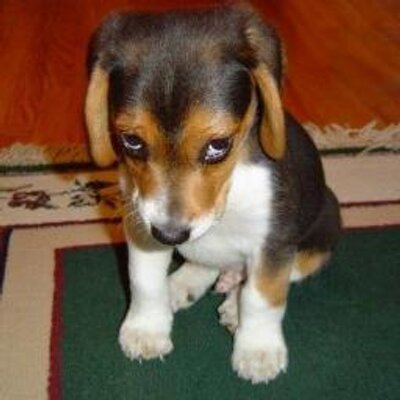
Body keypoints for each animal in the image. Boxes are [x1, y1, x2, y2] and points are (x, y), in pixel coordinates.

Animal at [85, 3, 341, 384]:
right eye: (131, 140)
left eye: (218, 145)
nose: (170, 235)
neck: (229, 191)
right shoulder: (140, 221)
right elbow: (144, 282)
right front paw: (146, 329)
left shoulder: (275, 241)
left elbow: (262, 297)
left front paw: (258, 350)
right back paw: (182, 283)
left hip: (325, 224)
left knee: (281, 273)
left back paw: (233, 301)